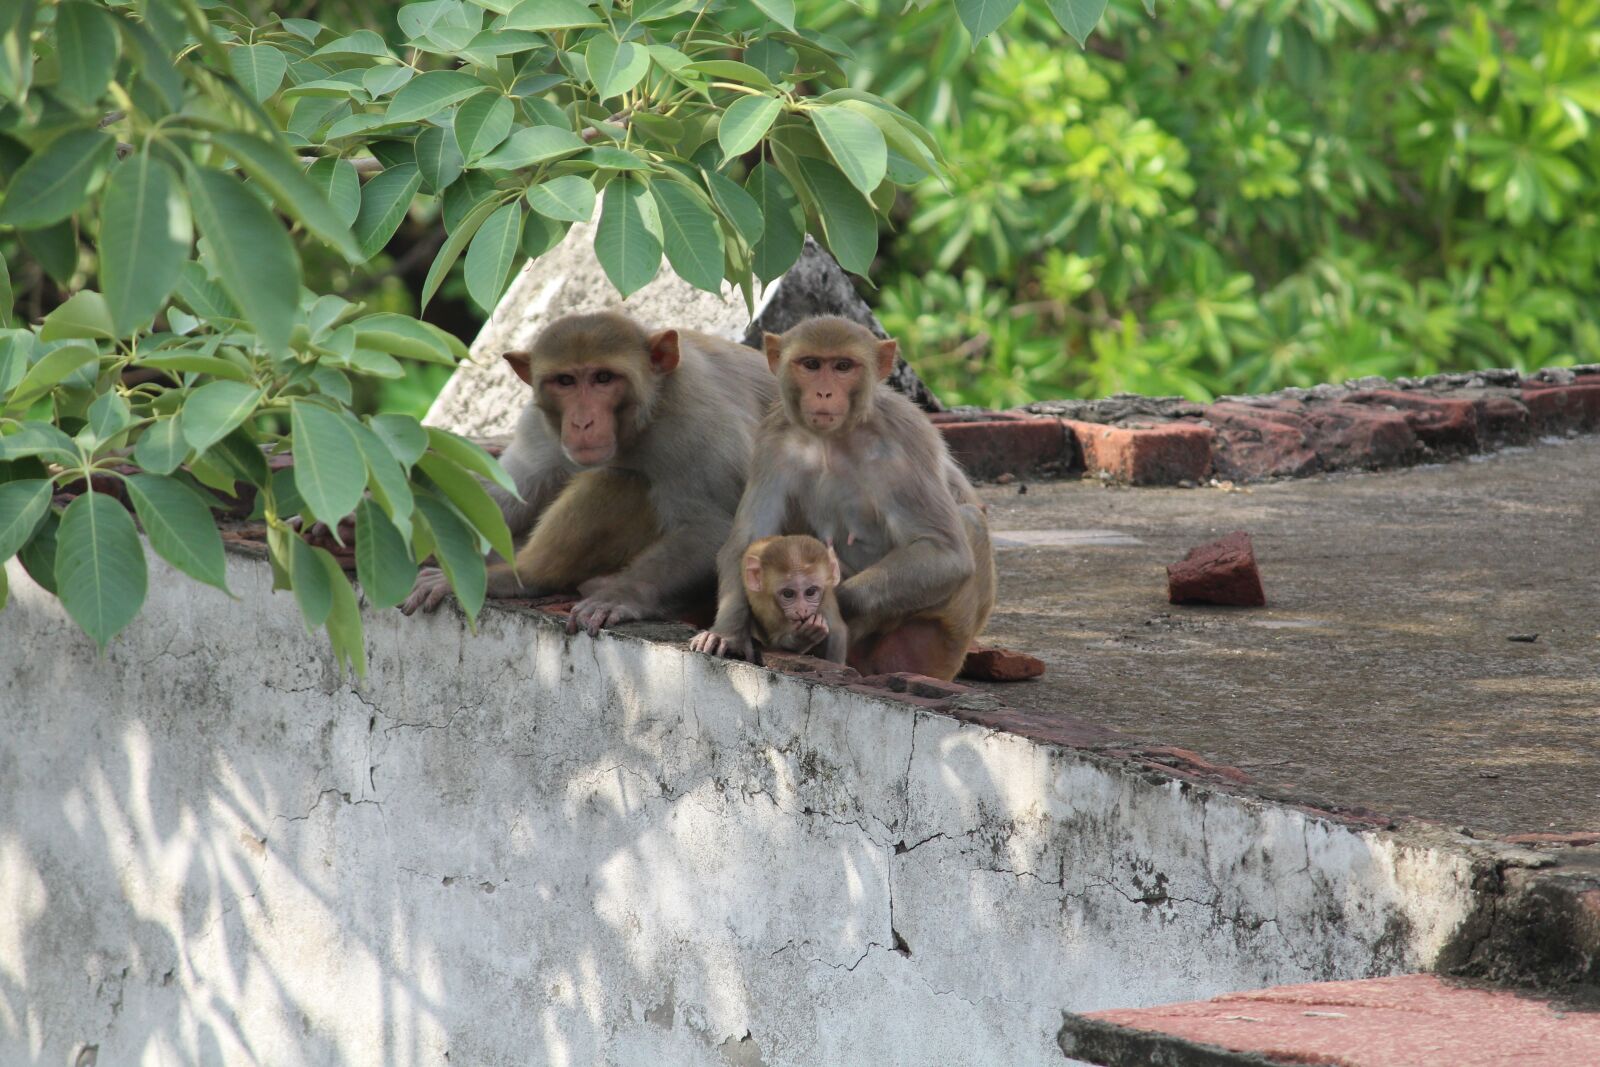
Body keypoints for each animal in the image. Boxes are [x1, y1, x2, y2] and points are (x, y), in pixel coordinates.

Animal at [401, 311, 777, 635]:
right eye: (565, 381)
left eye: (603, 378)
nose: (582, 422)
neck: (646, 414)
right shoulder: (538, 423)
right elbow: (508, 494)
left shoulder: (699, 427)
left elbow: (713, 529)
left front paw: (622, 596)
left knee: (620, 479)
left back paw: (523, 576)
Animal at [742, 535, 848, 663]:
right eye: (788, 593)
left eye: (811, 591)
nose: (802, 610)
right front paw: (802, 638)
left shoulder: (827, 600)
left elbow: (837, 632)